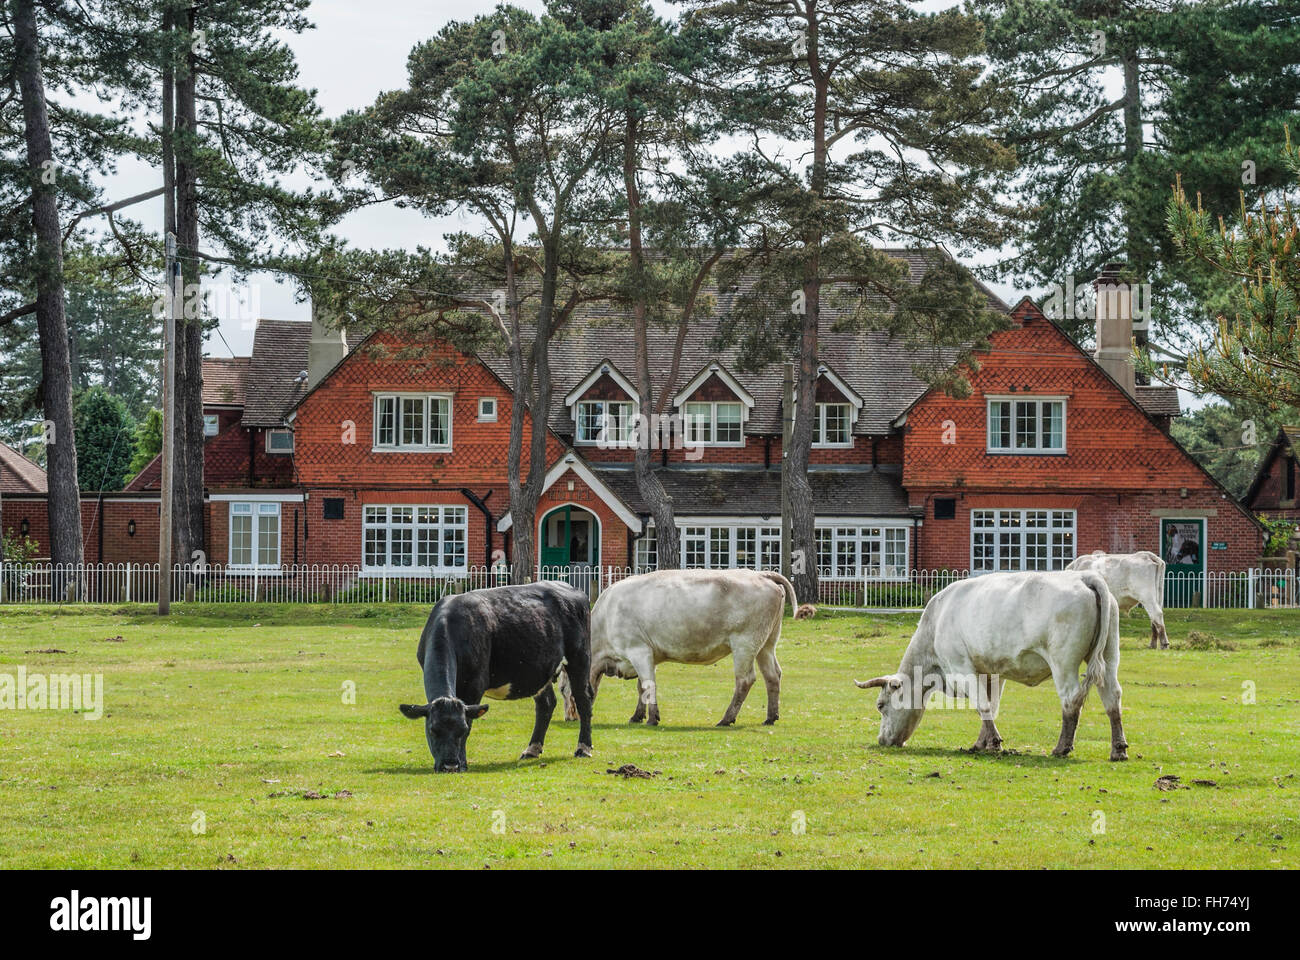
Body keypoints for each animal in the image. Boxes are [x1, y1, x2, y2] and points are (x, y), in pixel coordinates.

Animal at [397, 574, 595, 770]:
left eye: (462, 730)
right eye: (433, 730)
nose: (450, 766)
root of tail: (571, 588)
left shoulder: (475, 684)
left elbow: (470, 720)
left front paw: (463, 763)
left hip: (579, 657)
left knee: (583, 699)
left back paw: (583, 748)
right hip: (540, 668)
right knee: (546, 703)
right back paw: (532, 749)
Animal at [587, 564, 790, 723]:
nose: (577, 718)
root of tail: (760, 574)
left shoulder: (638, 650)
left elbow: (648, 685)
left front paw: (652, 718)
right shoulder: (648, 656)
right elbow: (642, 686)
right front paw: (637, 716)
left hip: (745, 644)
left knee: (745, 680)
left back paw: (726, 719)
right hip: (766, 644)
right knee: (773, 675)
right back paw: (771, 717)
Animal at [852, 567, 1128, 764]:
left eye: (880, 705)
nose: (882, 740)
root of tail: (1085, 576)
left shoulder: (961, 667)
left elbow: (981, 705)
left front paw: (993, 743)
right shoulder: (992, 673)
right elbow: (990, 706)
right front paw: (981, 743)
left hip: (1063, 662)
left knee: (1071, 700)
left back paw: (1062, 748)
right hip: (1109, 655)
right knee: (1112, 697)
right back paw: (1118, 749)